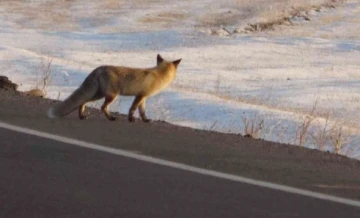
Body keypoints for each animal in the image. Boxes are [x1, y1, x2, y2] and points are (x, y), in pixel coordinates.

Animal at [47, 54, 181, 122]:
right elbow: (132, 109)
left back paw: (81, 116)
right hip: (111, 96)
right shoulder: (140, 96)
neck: (159, 74)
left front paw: (145, 120)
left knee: (82, 102)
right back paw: (111, 118)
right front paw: (131, 119)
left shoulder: (143, 97)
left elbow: (142, 111)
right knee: (102, 107)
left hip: (98, 95)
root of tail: (100, 68)